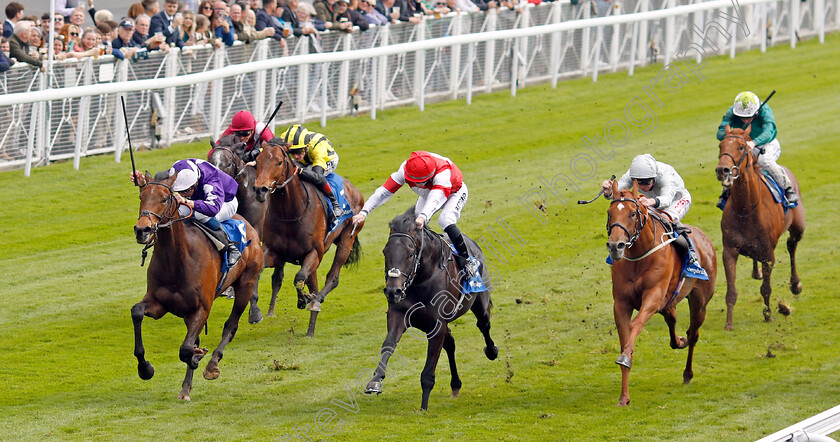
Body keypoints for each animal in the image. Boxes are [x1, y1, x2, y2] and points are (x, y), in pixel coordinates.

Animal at [132, 172, 262, 400]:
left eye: (164, 199)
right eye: (141, 196)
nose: (142, 230)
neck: (177, 260)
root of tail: (248, 225)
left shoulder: (202, 308)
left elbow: (186, 349)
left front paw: (196, 357)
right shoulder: (158, 304)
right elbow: (137, 311)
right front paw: (145, 368)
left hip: (246, 284)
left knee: (231, 326)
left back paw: (212, 365)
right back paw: (186, 387)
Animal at [253, 140, 364, 336]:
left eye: (279, 162)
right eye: (257, 160)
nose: (260, 189)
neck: (290, 213)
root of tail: (354, 188)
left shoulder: (314, 253)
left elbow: (298, 277)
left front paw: (303, 299)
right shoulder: (274, 252)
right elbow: (260, 272)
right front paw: (255, 311)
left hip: (348, 237)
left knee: (332, 277)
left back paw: (316, 302)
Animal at [362, 207, 496, 410]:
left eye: (410, 254)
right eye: (385, 252)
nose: (393, 291)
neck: (422, 279)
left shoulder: (437, 325)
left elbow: (429, 367)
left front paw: (424, 406)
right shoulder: (398, 314)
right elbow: (388, 345)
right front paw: (375, 381)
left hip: (479, 301)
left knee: (483, 324)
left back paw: (492, 351)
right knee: (450, 343)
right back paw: (455, 385)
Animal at [604, 180, 716, 408]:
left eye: (632, 213)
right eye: (610, 213)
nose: (615, 246)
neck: (639, 256)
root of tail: (704, 238)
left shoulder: (653, 298)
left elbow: (635, 325)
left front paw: (626, 356)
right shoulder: (621, 303)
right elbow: (625, 337)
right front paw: (624, 397)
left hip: (699, 302)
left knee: (694, 333)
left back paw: (688, 373)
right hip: (669, 302)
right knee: (672, 320)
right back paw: (679, 341)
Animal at [720, 124, 804, 328]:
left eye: (741, 147)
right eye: (720, 145)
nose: (722, 170)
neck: (746, 208)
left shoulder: (768, 254)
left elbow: (766, 288)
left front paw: (768, 314)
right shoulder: (729, 250)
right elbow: (731, 291)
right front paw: (729, 323)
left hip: (799, 227)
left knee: (792, 245)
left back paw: (795, 284)